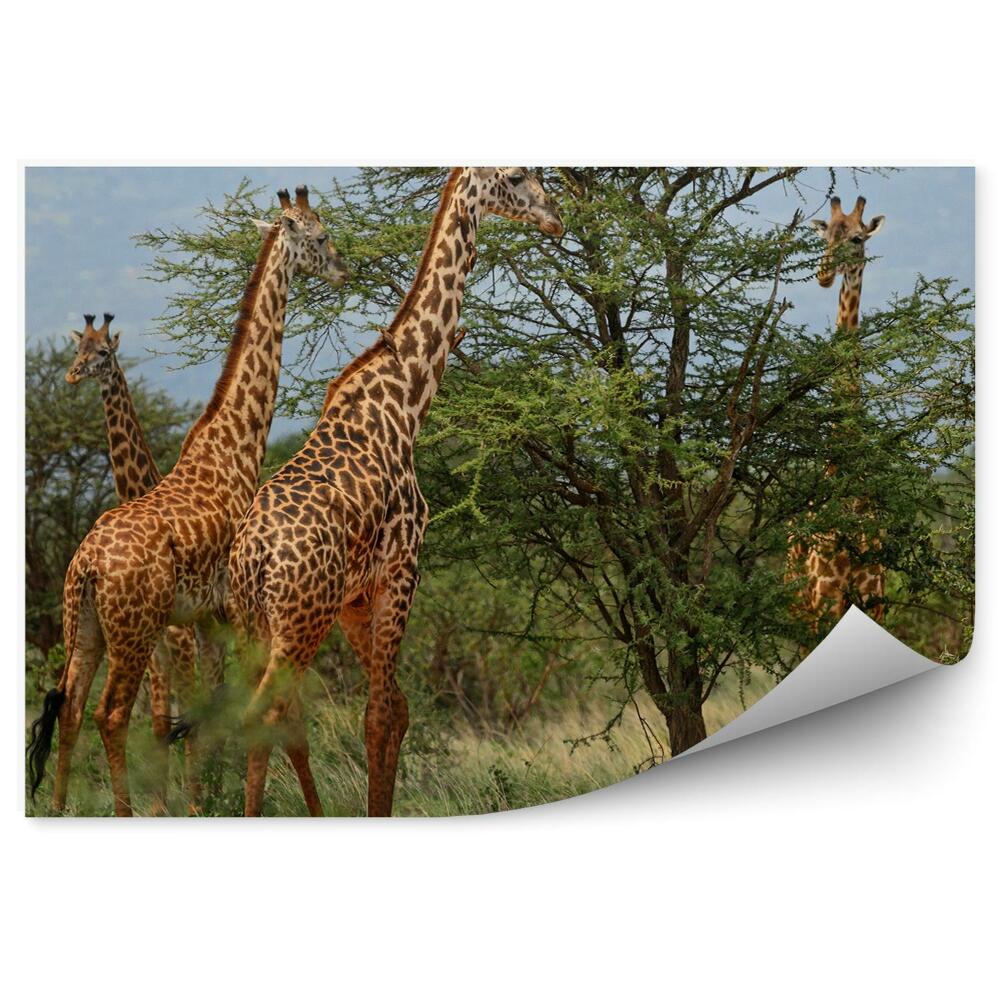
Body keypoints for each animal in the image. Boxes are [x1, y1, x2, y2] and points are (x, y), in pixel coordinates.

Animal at [64, 312, 202, 806]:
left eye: (104, 352)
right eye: (78, 349)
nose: (72, 375)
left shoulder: (179, 641)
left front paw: (195, 802)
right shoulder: (157, 649)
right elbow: (160, 723)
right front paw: (162, 805)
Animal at [226, 167, 563, 816]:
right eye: (516, 176)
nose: (556, 215)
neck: (407, 398)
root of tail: (253, 557)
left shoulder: (356, 599)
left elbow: (397, 711)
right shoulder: (403, 567)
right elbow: (380, 715)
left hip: (254, 625)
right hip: (299, 624)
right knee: (263, 715)